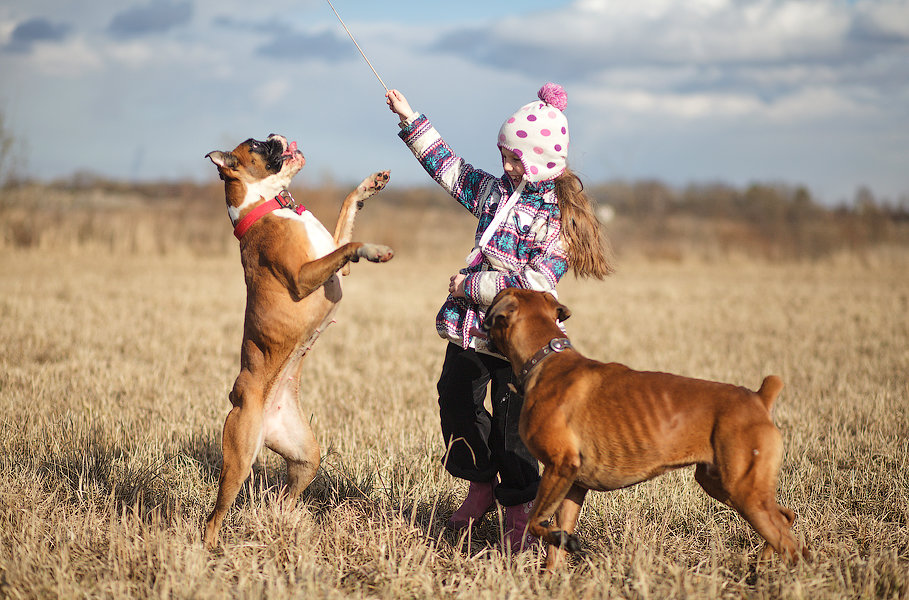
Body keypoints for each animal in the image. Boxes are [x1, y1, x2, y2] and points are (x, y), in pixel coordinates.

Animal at [204, 132, 392, 548]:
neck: (269, 206)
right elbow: (349, 246)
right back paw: (207, 549)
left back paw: (285, 521)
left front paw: (369, 186)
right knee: (214, 515)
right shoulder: (305, 276)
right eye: (257, 145)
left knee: (287, 494)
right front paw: (373, 249)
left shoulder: (333, 263)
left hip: (307, 456)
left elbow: (346, 213)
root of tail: (264, 417)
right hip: (238, 459)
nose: (276, 136)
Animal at [482, 290, 808, 572]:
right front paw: (552, 574)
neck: (545, 359)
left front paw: (563, 541)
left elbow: (536, 521)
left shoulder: (559, 466)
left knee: (789, 543)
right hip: (724, 486)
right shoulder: (572, 484)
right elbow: (555, 544)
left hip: (743, 491)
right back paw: (762, 565)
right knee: (785, 518)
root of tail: (758, 398)